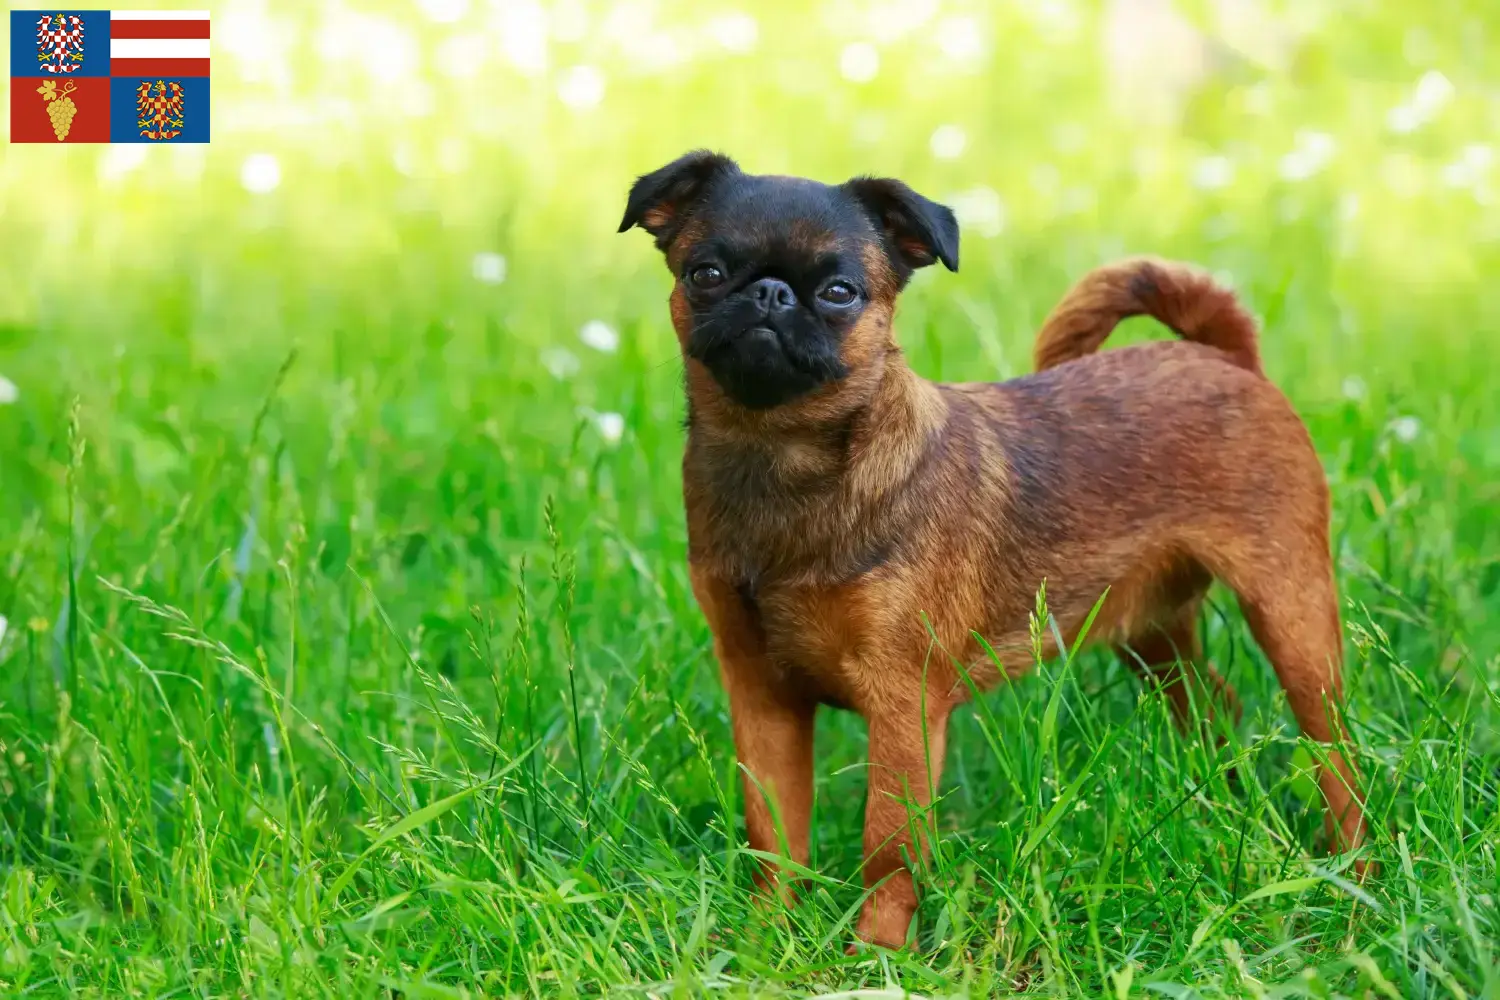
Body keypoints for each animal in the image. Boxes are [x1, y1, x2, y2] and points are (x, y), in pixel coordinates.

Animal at [615, 152, 1368, 953]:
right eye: (706, 273)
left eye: (841, 292)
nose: (768, 292)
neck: (783, 462)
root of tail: (1222, 357)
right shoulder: (761, 691)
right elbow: (775, 831)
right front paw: (766, 938)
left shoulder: (903, 702)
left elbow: (888, 842)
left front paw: (878, 951)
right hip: (1149, 632)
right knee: (1212, 705)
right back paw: (1225, 810)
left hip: (1292, 616)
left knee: (1335, 754)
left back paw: (1353, 869)